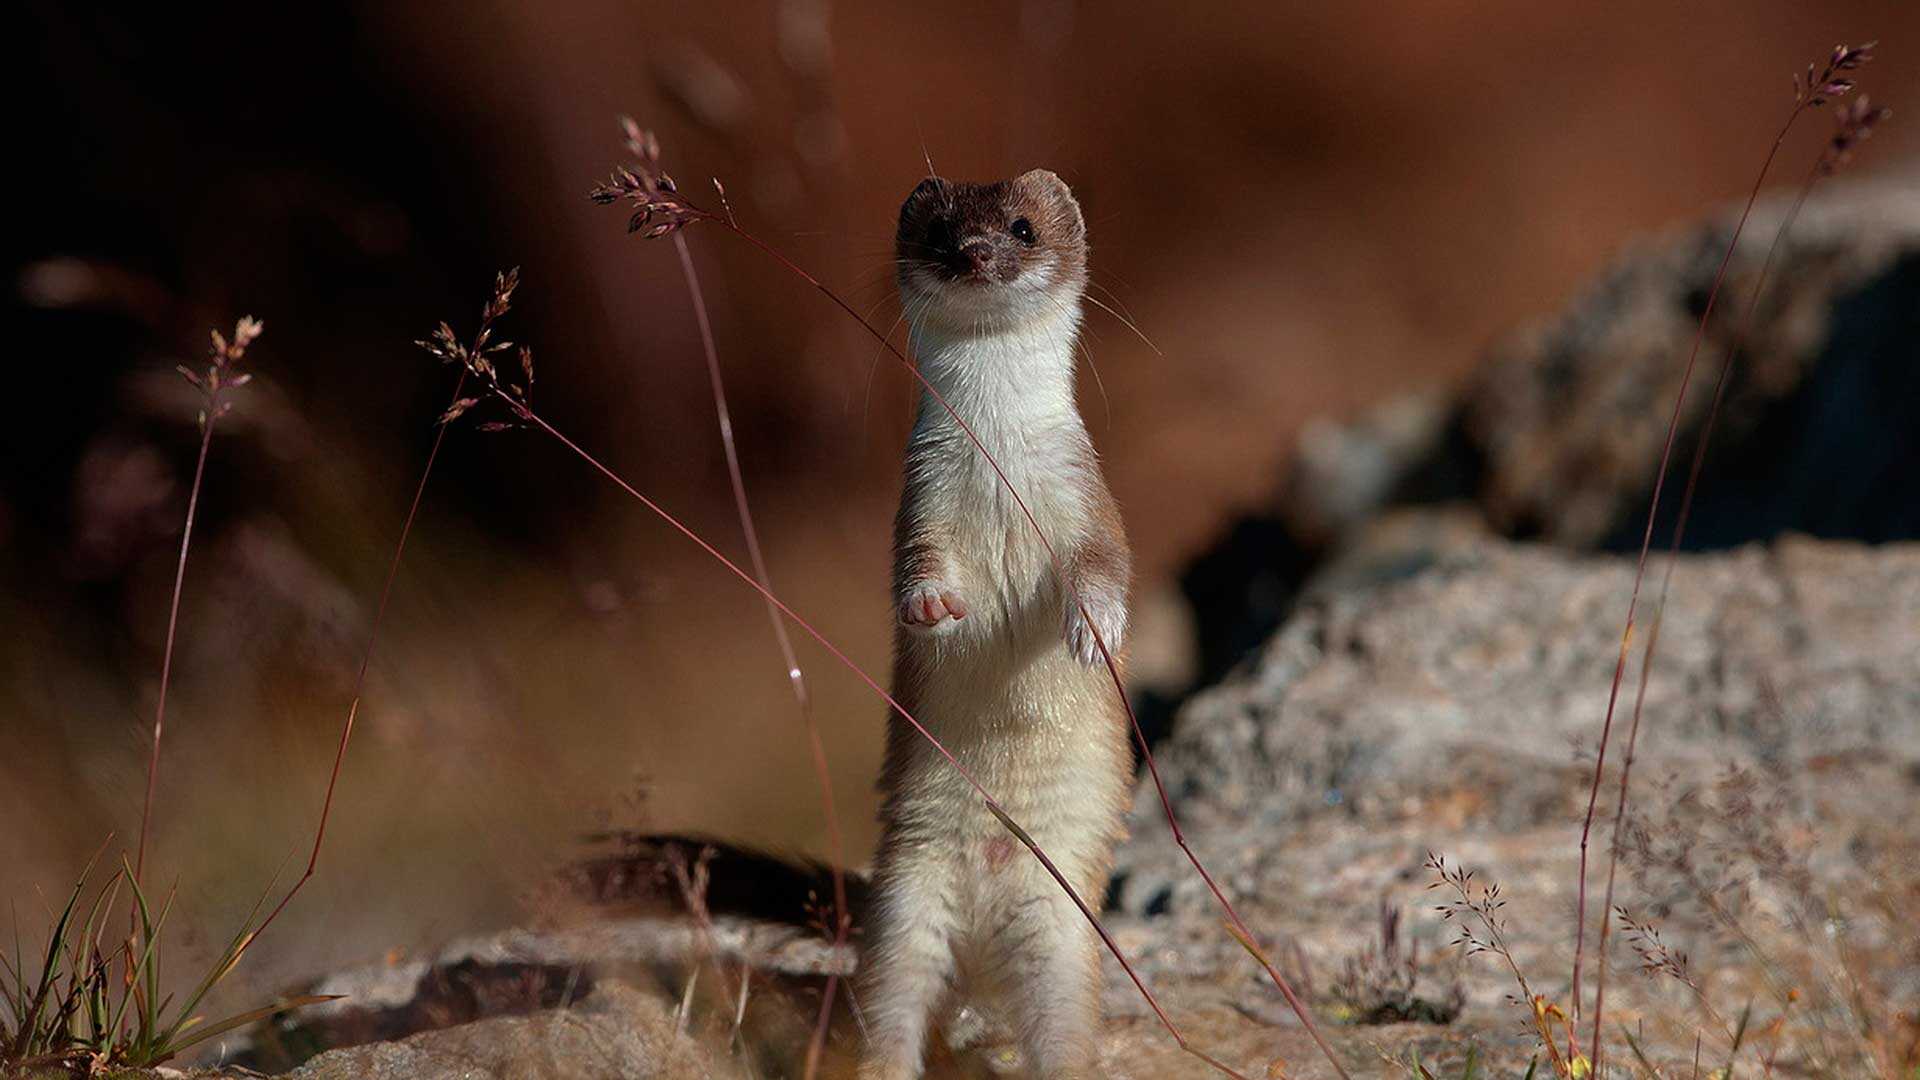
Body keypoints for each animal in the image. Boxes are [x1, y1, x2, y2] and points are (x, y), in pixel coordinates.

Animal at [864, 170, 1128, 1076]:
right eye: (941, 230)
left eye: (1020, 226)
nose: (976, 253)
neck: (995, 458)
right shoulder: (919, 505)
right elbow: (912, 571)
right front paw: (934, 608)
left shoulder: (1089, 498)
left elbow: (1105, 567)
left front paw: (1094, 629)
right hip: (903, 905)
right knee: (892, 1009)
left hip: (1061, 933)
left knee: (1061, 1028)